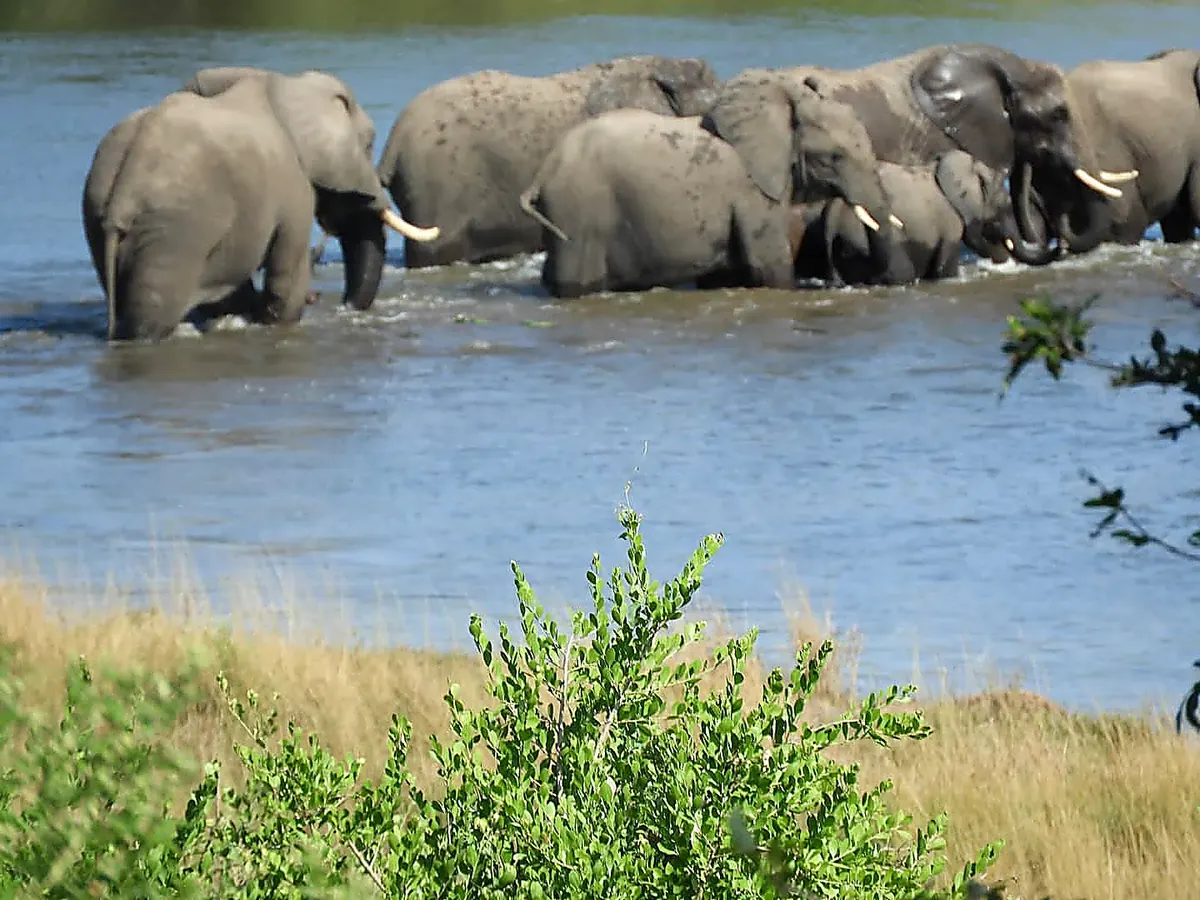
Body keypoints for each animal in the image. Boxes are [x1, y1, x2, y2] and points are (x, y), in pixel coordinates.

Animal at [82, 68, 439, 341]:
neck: (285, 84)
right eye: (368, 145)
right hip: (174, 230)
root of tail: (124, 191)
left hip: (101, 212)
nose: (344, 307)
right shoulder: (292, 186)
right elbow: (286, 276)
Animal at [517, 70, 902, 299]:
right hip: (579, 212)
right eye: (834, 158)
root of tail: (542, 172)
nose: (840, 281)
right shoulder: (752, 189)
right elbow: (769, 264)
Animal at [790, 149, 1056, 286]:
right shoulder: (950, 222)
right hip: (858, 241)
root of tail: (832, 212)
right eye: (1003, 207)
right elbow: (943, 268)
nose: (1060, 246)